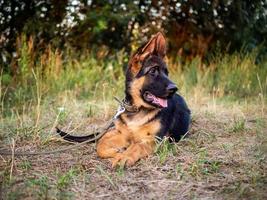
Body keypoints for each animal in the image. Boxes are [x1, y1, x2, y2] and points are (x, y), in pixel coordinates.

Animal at [58, 32, 191, 167]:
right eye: (153, 71)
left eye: (166, 73)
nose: (174, 89)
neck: (137, 109)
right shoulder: (122, 134)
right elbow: (100, 143)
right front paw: (117, 152)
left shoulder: (153, 140)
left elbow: (136, 146)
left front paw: (124, 156)